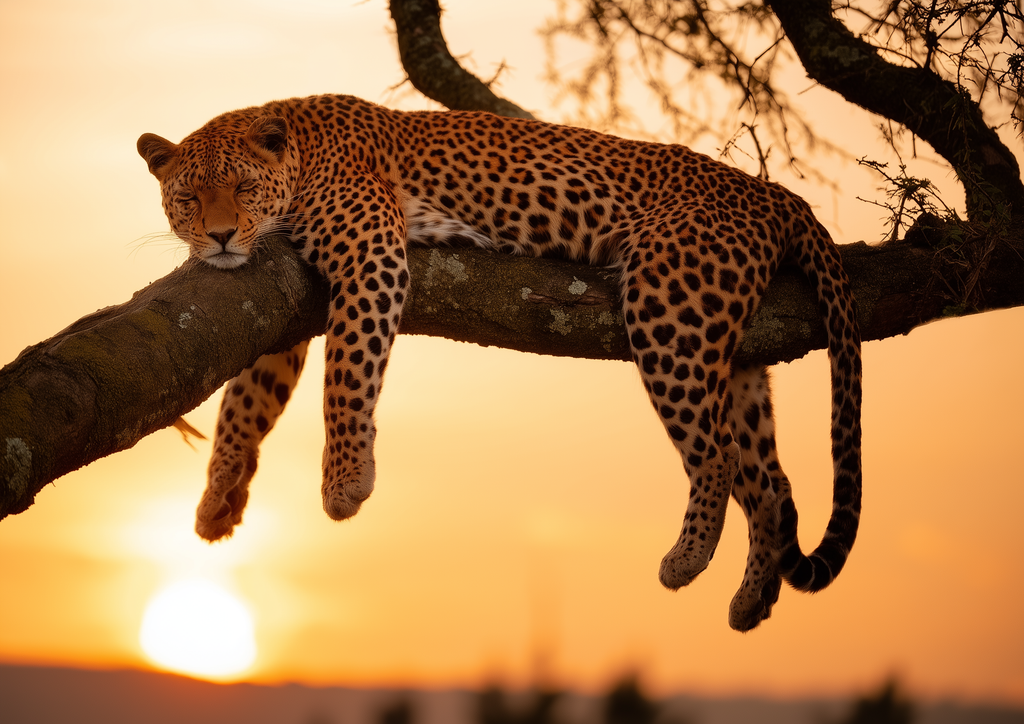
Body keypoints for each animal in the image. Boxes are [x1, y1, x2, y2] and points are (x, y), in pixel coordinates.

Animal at [138, 93, 862, 631]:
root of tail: (777, 195)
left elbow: (346, 373)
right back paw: (751, 598)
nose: (220, 237)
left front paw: (345, 482)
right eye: (189, 198)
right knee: (770, 482)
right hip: (736, 356)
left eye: (241, 187)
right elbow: (247, 402)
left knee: (715, 454)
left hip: (671, 304)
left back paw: (684, 560)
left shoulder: (372, 254)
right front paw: (218, 500)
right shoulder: (284, 308)